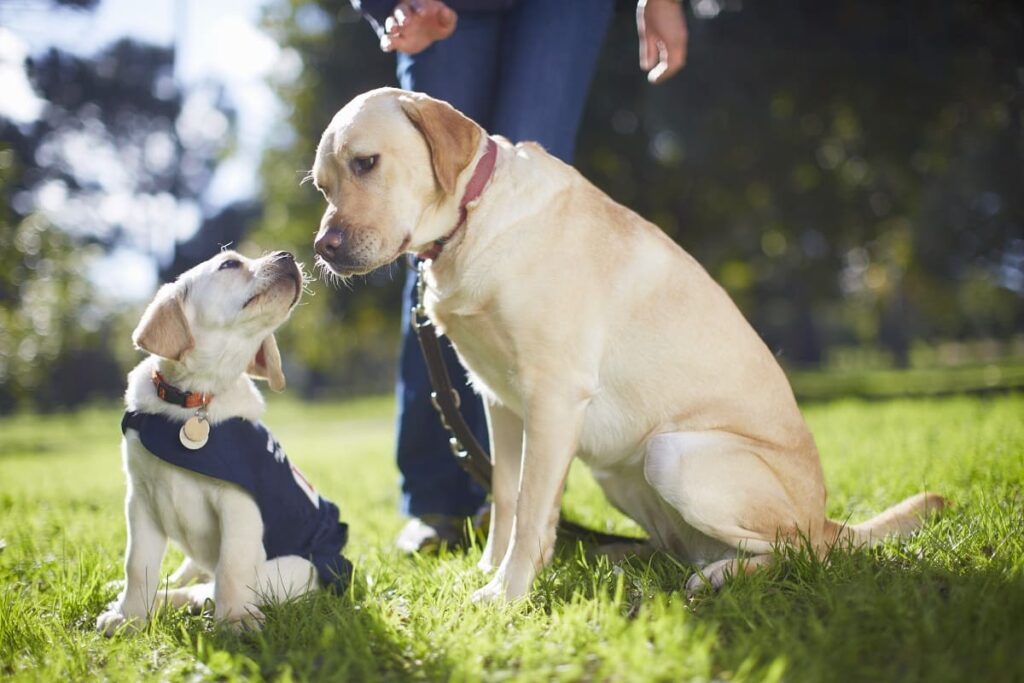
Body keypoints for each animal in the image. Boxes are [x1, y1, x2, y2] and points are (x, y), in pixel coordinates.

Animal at [97, 250, 352, 634]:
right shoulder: (142, 502)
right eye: (229, 264)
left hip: (295, 569)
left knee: (207, 586)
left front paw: (235, 620)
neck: (193, 400)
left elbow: (231, 568)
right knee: (189, 575)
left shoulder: (238, 505)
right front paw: (130, 617)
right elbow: (138, 567)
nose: (287, 254)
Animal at [311, 87, 942, 602]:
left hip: (674, 454)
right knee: (690, 545)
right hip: (619, 471)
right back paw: (631, 559)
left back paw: (713, 577)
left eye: (366, 163)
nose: (322, 248)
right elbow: (508, 499)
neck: (475, 218)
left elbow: (531, 508)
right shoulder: (498, 402)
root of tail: (827, 518)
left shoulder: (552, 397)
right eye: (322, 186)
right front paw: (489, 571)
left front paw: (507, 594)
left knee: (799, 552)